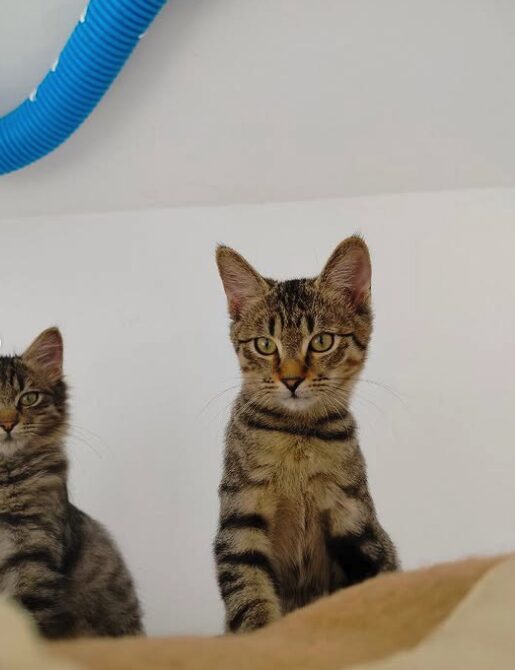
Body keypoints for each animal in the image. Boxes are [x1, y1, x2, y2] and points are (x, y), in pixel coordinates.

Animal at [214, 238, 400, 636]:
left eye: (322, 341)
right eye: (265, 345)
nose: (291, 379)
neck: (298, 434)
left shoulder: (355, 519)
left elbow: (375, 578)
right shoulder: (240, 517)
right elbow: (247, 591)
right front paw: (260, 632)